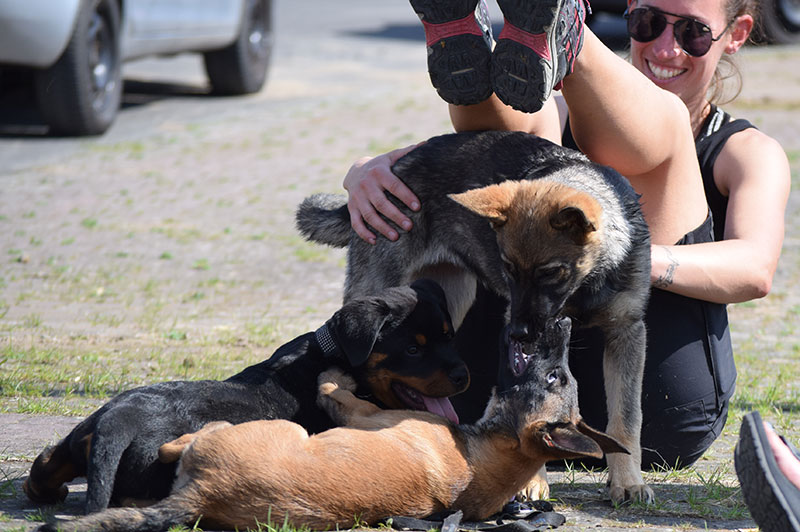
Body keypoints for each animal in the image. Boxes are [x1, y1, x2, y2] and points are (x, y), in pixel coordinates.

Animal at [21, 280, 468, 512]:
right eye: (412, 350)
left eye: (451, 337)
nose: (464, 375)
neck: (335, 352)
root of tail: (121, 418)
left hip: (82, 433)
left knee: (46, 461)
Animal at [36, 316, 624, 532]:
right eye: (561, 375)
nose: (564, 319)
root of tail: (206, 492)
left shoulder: (369, 412)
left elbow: (335, 390)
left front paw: (334, 374)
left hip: (267, 432)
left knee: (182, 445)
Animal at [296, 129, 652, 502]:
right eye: (508, 269)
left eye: (551, 272)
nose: (519, 333)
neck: (587, 281)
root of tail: (398, 164)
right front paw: (532, 479)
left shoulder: (626, 331)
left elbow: (626, 418)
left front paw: (627, 481)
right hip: (379, 294)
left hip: (445, 305)